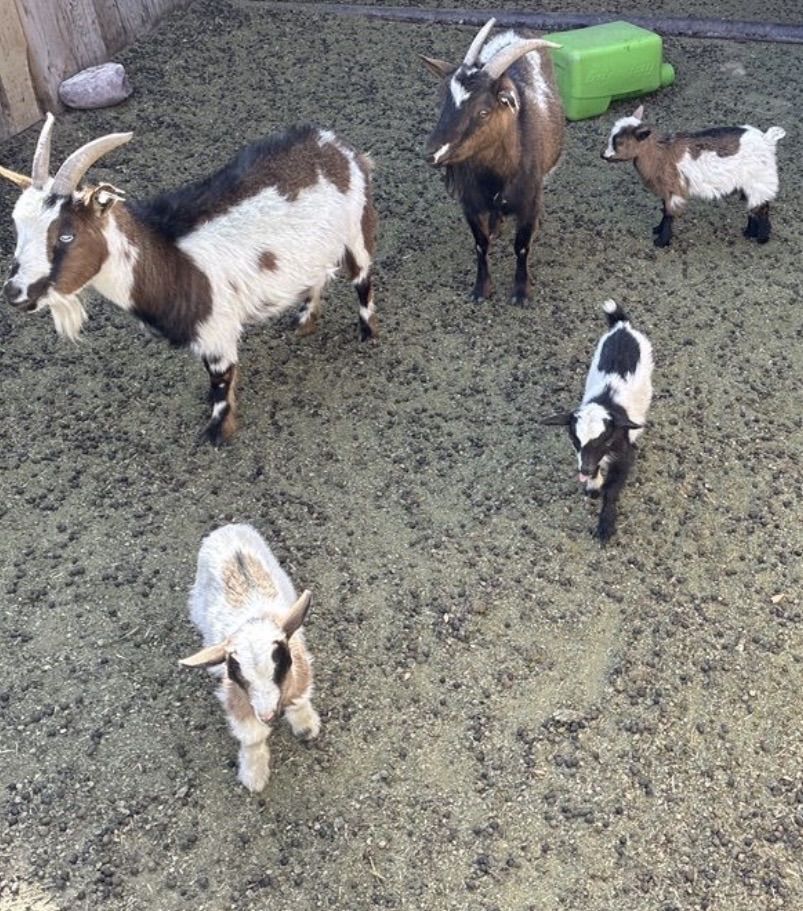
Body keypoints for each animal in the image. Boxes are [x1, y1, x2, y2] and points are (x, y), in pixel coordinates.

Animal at [0, 114, 378, 444]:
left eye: (67, 235)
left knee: (362, 278)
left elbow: (221, 380)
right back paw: (304, 321)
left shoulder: (217, 330)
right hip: (312, 252)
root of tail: (334, 144)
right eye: (16, 224)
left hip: (355, 229)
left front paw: (216, 433)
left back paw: (367, 333)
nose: (14, 291)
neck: (170, 256)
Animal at [180, 523, 319, 792]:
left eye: (281, 663)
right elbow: (252, 737)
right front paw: (254, 777)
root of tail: (227, 529)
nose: (267, 715)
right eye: (236, 672)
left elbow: (299, 701)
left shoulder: (300, 672)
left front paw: (307, 728)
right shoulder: (237, 698)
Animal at [421, 18, 564, 305]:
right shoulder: (470, 202)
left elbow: (522, 246)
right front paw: (481, 290)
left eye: (484, 112)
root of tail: (515, 29)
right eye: (444, 103)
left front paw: (520, 293)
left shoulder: (529, 200)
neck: (496, 176)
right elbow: (480, 243)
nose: (433, 153)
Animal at [542, 300, 653, 544]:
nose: (585, 468)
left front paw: (605, 526)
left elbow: (612, 491)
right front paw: (593, 487)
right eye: (574, 439)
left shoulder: (624, 456)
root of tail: (622, 326)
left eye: (604, 439)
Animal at [602, 105, 785, 247]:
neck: (660, 154)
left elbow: (668, 215)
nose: (603, 155)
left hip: (759, 180)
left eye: (619, 142)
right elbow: (664, 210)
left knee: (762, 207)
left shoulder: (673, 189)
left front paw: (661, 241)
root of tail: (767, 139)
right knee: (754, 206)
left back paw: (762, 238)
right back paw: (749, 232)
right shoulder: (666, 190)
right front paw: (657, 230)